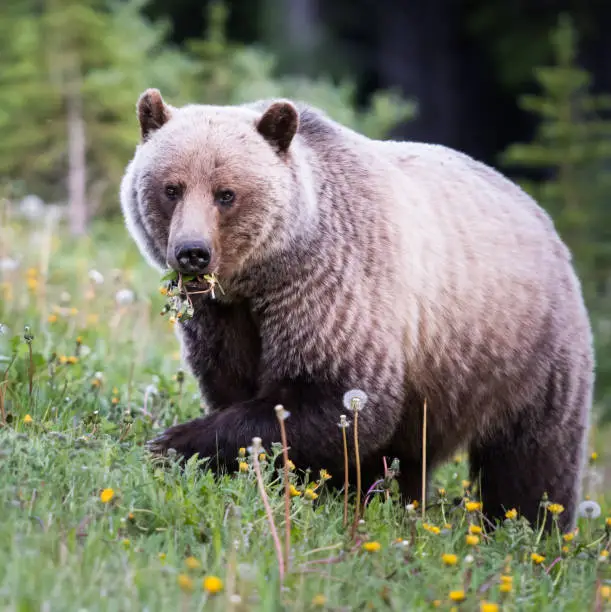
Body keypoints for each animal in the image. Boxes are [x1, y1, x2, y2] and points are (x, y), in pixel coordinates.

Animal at [119, 87, 592, 532]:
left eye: (226, 194)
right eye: (171, 188)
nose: (192, 252)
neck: (264, 275)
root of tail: (542, 217)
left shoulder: (332, 287)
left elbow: (337, 399)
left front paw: (173, 442)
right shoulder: (224, 316)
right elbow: (232, 383)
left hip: (523, 355)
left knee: (531, 463)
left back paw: (530, 529)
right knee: (411, 460)